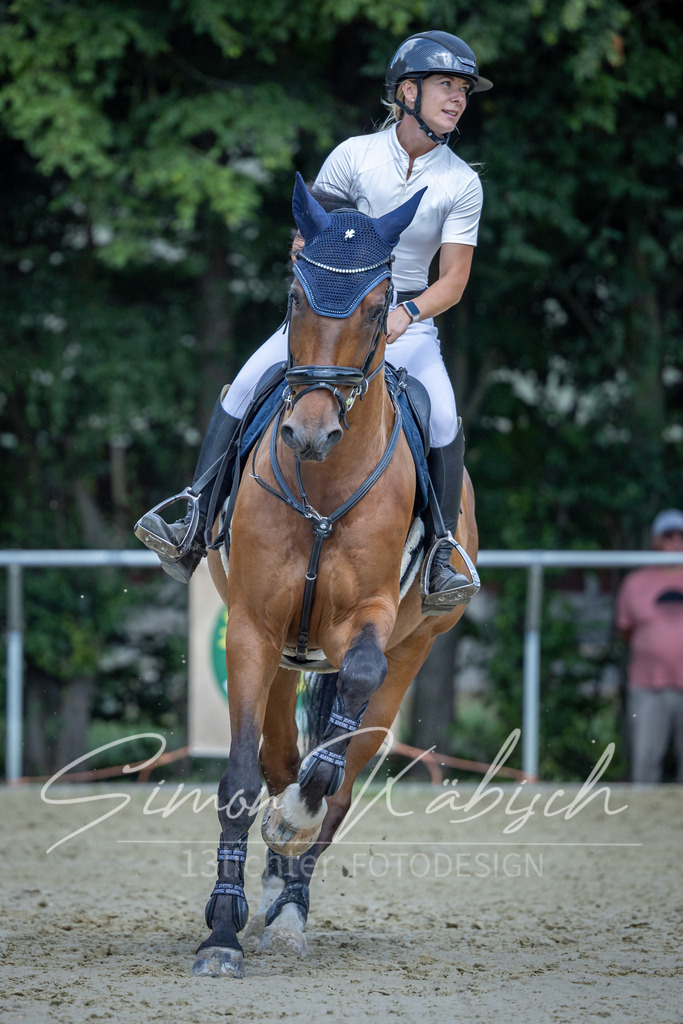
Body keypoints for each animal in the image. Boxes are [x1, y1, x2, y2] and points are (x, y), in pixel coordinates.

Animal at [191, 173, 479, 978]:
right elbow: (239, 777)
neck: (323, 483)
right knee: (281, 756)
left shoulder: (370, 625)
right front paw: (221, 934)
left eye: (380, 306)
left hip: (411, 655)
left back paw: (291, 902)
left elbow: (338, 734)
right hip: (283, 657)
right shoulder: (252, 629)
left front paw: (290, 827)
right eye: (296, 295)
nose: (310, 432)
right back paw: (267, 898)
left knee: (341, 776)